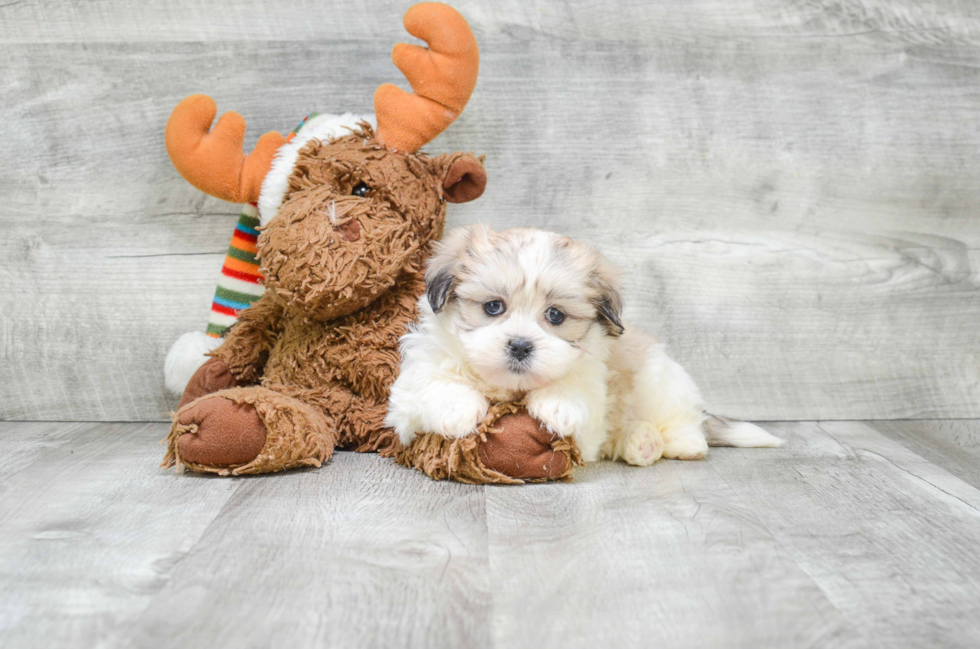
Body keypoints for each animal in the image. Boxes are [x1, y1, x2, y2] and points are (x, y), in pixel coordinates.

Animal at [382, 225, 780, 464]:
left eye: (556, 316)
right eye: (493, 307)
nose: (521, 346)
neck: (511, 390)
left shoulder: (592, 398)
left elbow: (576, 389)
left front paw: (558, 404)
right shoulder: (411, 389)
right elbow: (433, 385)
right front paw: (458, 409)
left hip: (659, 379)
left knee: (681, 417)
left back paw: (678, 443)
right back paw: (641, 442)